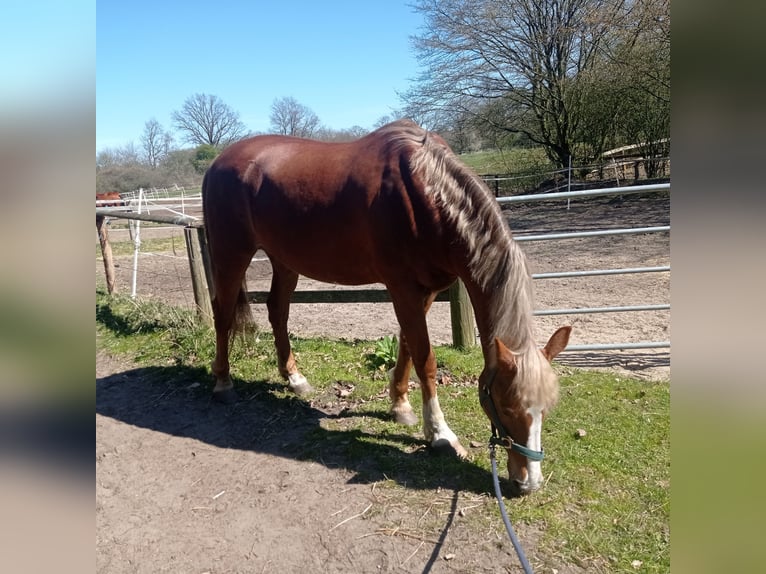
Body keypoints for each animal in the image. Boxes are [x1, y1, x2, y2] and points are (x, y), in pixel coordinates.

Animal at [202, 119, 571, 494]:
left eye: (547, 408)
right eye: (506, 407)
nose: (528, 482)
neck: (424, 194)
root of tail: (219, 162)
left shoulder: (425, 291)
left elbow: (407, 346)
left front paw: (400, 406)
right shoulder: (403, 288)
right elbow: (426, 360)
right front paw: (440, 434)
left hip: (284, 260)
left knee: (277, 310)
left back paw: (294, 378)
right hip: (231, 254)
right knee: (222, 313)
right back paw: (223, 382)